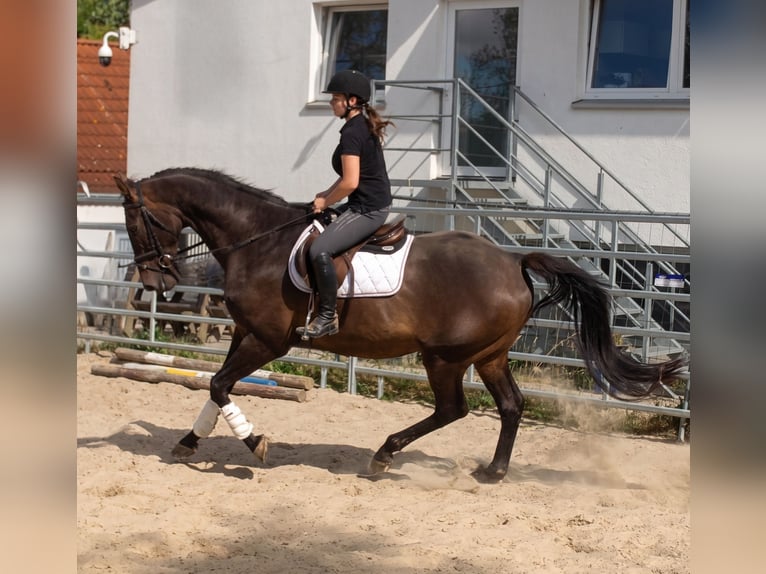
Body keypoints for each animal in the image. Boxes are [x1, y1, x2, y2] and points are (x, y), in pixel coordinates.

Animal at [116, 167, 686, 482]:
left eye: (137, 221)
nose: (156, 280)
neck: (260, 241)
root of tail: (513, 261)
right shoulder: (244, 333)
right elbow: (215, 387)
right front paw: (189, 442)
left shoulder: (269, 341)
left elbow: (218, 383)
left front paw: (254, 444)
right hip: (490, 355)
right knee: (510, 406)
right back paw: (493, 472)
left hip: (445, 357)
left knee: (454, 409)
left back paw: (384, 455)